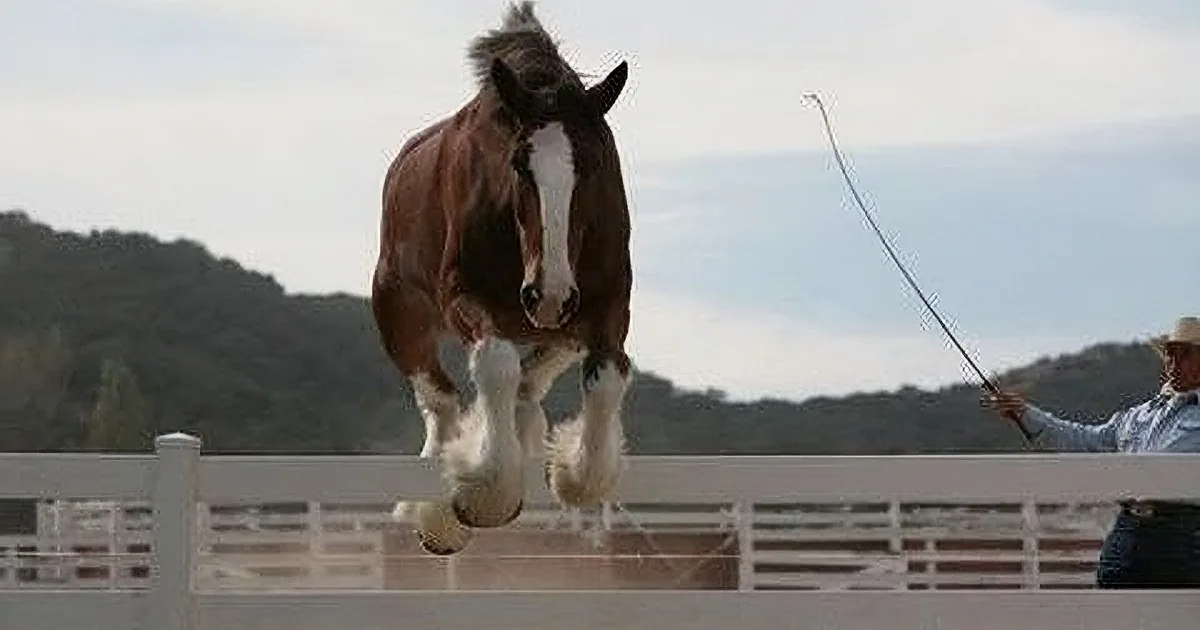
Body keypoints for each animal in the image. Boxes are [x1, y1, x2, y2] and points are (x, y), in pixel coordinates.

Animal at [370, 2, 633, 556]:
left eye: (596, 163)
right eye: (518, 164)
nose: (548, 295)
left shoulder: (606, 307)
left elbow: (606, 379)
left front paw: (569, 473)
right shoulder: (465, 299)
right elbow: (495, 366)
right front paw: (485, 494)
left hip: (559, 329)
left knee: (531, 381)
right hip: (397, 309)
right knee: (441, 399)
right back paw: (434, 515)